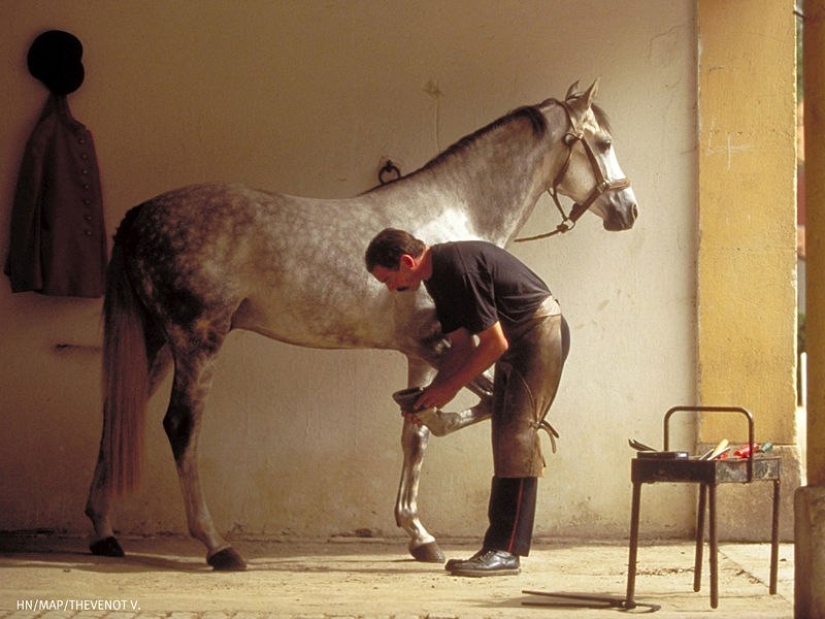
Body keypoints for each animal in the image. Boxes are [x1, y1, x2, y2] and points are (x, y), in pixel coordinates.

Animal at [85, 79, 637, 570]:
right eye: (604, 144)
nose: (628, 210)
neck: (446, 218)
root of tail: (139, 215)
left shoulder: (422, 352)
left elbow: (415, 434)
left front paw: (420, 537)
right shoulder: (442, 347)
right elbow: (479, 405)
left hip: (158, 344)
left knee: (116, 415)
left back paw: (104, 534)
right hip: (197, 341)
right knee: (181, 427)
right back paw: (218, 547)